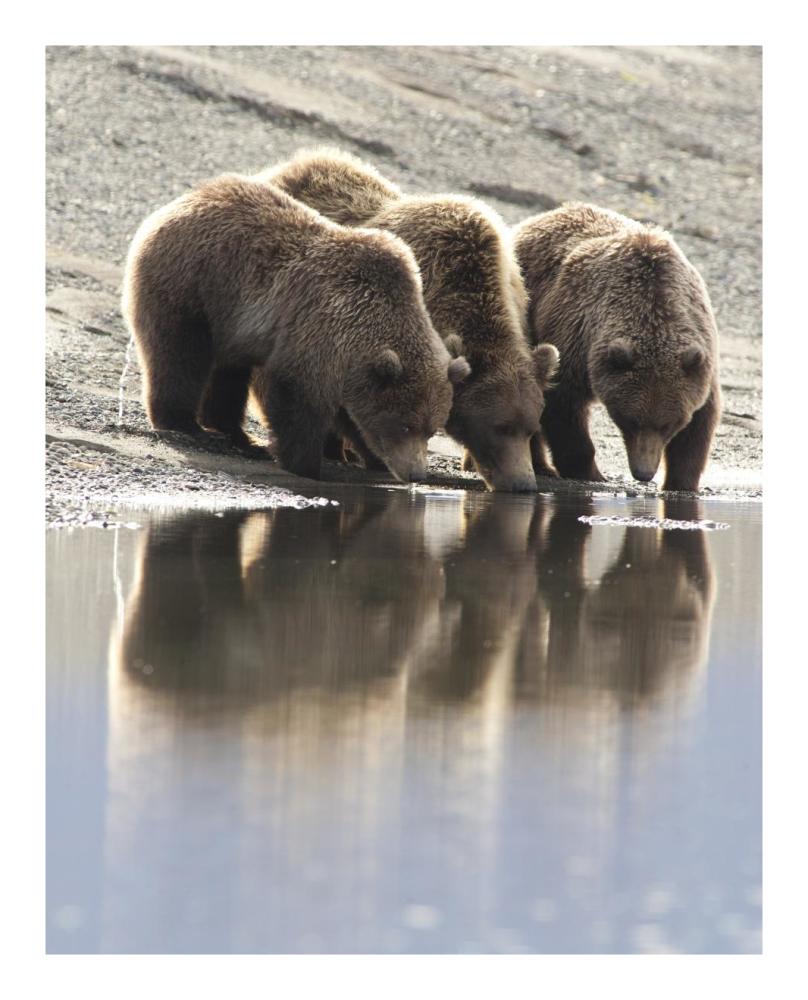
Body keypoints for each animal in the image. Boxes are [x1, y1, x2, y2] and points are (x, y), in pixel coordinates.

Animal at [121, 173, 470, 482]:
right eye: (406, 425)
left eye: (431, 428)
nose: (416, 474)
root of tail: (183, 200)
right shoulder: (318, 335)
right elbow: (297, 400)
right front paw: (305, 463)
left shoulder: (351, 367)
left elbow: (353, 416)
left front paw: (372, 458)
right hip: (195, 284)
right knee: (179, 355)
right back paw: (182, 422)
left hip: (230, 320)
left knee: (228, 373)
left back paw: (236, 434)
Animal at [513, 202, 721, 492]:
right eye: (630, 421)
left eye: (669, 424)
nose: (644, 473)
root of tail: (542, 216)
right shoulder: (577, 339)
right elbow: (563, 405)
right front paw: (589, 471)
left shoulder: (699, 357)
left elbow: (700, 422)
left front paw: (680, 482)